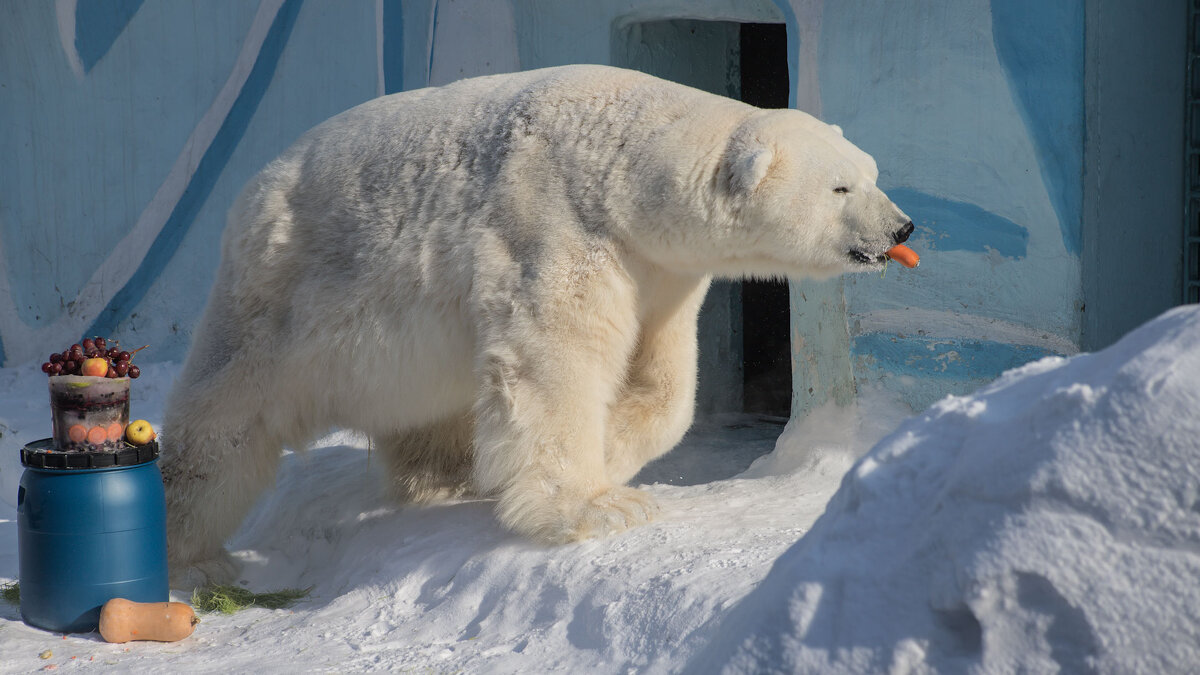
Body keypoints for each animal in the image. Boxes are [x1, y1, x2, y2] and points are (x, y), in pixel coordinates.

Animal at [157, 61, 907, 578]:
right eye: (840, 186)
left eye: (871, 172)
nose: (901, 228)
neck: (623, 165)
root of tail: (255, 187)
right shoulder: (556, 226)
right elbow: (557, 358)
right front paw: (600, 505)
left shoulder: (660, 269)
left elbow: (665, 378)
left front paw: (615, 448)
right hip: (278, 296)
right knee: (227, 420)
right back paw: (193, 554)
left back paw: (447, 476)